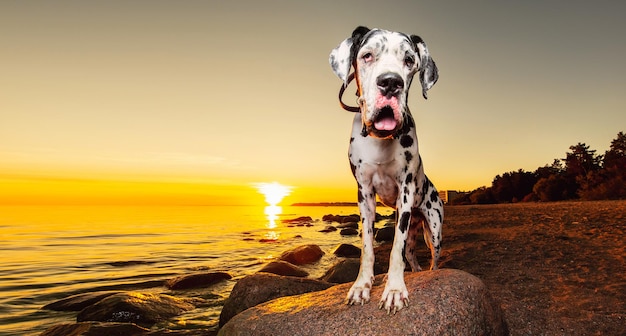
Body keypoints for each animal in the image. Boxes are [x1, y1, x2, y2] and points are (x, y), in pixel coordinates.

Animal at [330, 26, 442, 316]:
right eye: (367, 55)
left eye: (409, 61)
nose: (391, 83)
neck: (380, 140)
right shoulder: (364, 194)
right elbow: (367, 248)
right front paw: (362, 286)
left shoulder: (405, 191)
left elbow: (395, 249)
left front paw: (393, 290)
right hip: (415, 229)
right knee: (411, 255)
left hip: (434, 229)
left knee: (433, 258)